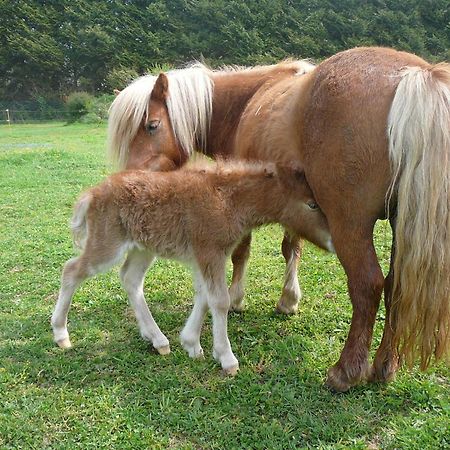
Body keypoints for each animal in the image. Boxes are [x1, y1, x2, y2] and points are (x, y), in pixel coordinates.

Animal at [51, 161, 334, 372]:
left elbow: (204, 296)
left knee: (130, 279)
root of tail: (93, 193)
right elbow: (219, 300)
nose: (333, 240)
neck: (228, 200)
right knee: (72, 270)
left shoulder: (203, 256)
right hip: (108, 243)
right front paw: (226, 358)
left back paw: (157, 340)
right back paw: (61, 334)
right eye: (311, 204)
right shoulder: (210, 251)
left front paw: (191, 344)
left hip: (143, 248)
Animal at [107, 46, 448, 390]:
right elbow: (291, 248)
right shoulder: (294, 201)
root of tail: (416, 75)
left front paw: (236, 298)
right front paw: (288, 300)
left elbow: (241, 252)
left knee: (367, 286)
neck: (244, 105)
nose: (129, 181)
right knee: (396, 287)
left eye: (152, 125)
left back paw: (345, 371)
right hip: (401, 226)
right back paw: (385, 365)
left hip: (350, 225)